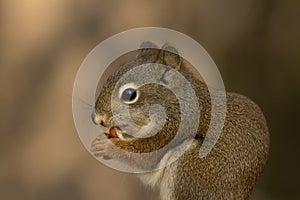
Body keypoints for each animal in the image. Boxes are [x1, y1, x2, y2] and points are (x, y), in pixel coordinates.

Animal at [91, 41, 270, 199]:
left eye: (129, 94)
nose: (98, 119)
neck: (174, 102)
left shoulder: (176, 127)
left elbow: (146, 158)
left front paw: (106, 146)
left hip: (190, 167)